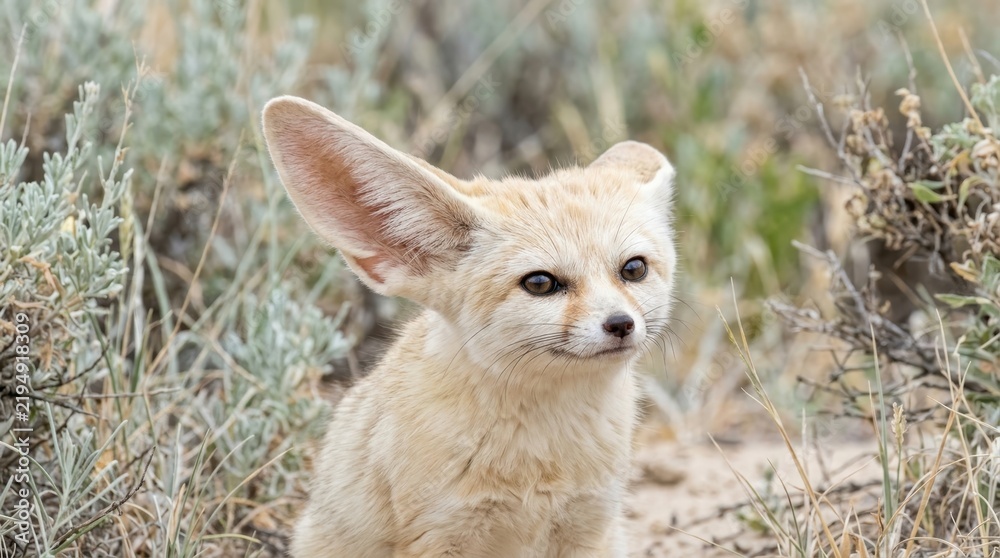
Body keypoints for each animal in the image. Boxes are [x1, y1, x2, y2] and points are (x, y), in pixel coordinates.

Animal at [261, 95, 678, 558]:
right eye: (540, 283)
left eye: (633, 269)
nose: (621, 324)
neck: (541, 455)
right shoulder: (439, 533)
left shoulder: (590, 525)